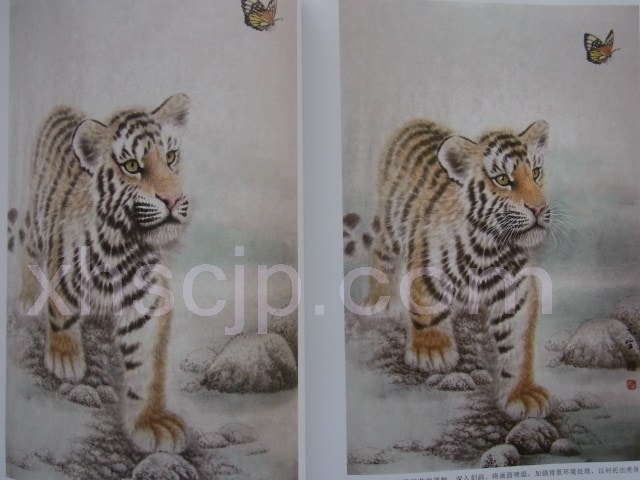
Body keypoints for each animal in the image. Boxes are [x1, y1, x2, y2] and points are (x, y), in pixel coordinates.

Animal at [17, 94, 191, 452]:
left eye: (170, 157)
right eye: (132, 166)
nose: (173, 199)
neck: (123, 243)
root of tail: (63, 109)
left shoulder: (147, 302)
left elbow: (147, 365)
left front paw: (151, 422)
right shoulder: (63, 269)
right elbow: (62, 314)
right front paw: (65, 359)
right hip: (38, 225)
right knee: (28, 246)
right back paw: (27, 298)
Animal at [364, 118, 552, 419]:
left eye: (536, 173)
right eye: (502, 179)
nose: (539, 209)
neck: (490, 248)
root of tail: (418, 120)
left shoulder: (517, 293)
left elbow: (518, 346)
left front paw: (522, 395)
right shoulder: (428, 267)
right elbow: (428, 309)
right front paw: (433, 353)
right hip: (391, 225)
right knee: (381, 255)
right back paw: (379, 303)